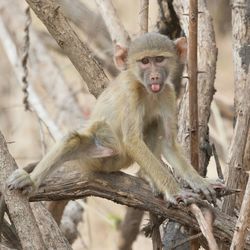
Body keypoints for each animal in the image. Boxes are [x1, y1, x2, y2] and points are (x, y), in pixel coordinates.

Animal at [6, 32, 217, 204]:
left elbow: (167, 142)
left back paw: (146, 176)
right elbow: (133, 141)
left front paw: (199, 181)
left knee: (153, 122)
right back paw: (31, 180)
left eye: (159, 59)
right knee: (76, 139)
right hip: (98, 159)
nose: (155, 77)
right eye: (145, 61)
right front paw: (175, 191)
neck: (147, 91)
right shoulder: (131, 93)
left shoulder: (167, 94)